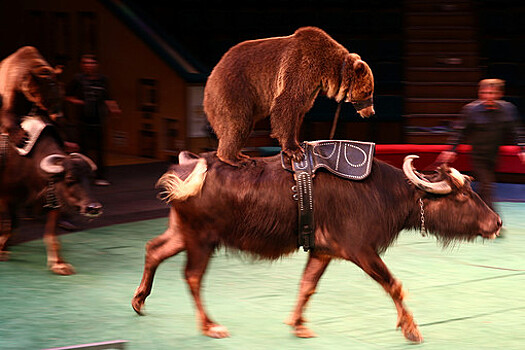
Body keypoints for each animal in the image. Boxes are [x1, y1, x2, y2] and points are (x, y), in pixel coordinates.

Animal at [0, 123, 101, 274]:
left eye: (91, 178)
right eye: (70, 178)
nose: (94, 208)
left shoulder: (53, 201)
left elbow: (51, 234)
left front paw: (59, 264)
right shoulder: (7, 198)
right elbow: (11, 224)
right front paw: (3, 249)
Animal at [131, 151, 500, 342]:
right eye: (462, 196)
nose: (496, 223)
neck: (383, 192)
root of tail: (192, 165)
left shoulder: (324, 251)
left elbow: (307, 285)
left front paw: (298, 324)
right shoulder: (361, 250)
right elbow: (394, 284)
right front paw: (410, 329)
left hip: (182, 233)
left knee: (154, 248)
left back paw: (138, 300)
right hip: (202, 239)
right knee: (192, 276)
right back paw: (210, 326)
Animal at [203, 26, 374, 166]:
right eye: (368, 92)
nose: (371, 113)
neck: (328, 71)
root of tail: (211, 75)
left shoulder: (312, 88)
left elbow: (300, 110)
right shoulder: (302, 66)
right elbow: (287, 103)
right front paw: (295, 151)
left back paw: (240, 155)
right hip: (234, 89)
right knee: (238, 121)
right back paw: (235, 158)